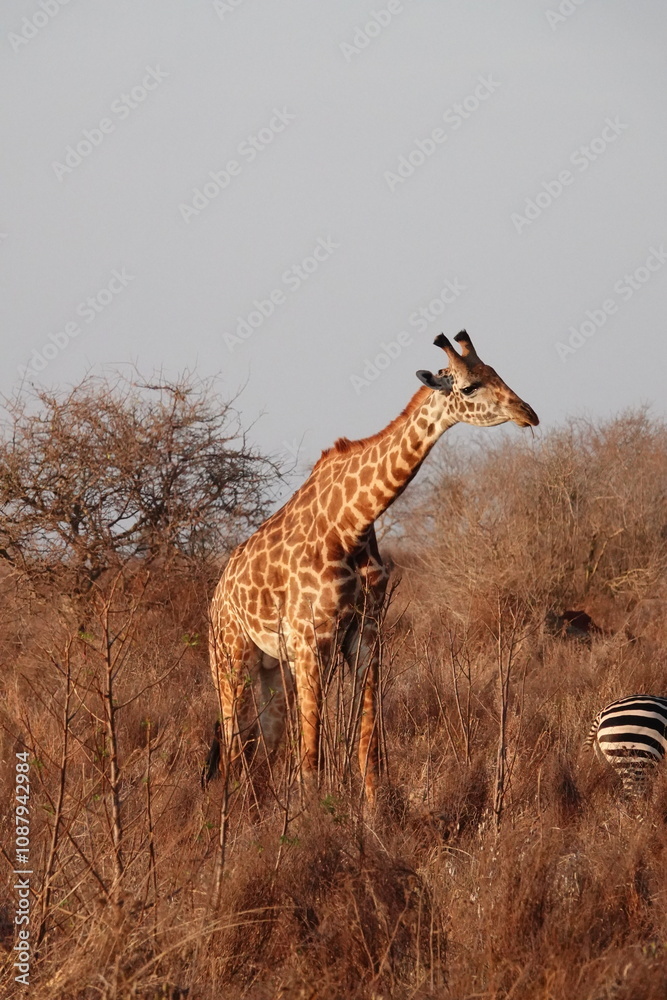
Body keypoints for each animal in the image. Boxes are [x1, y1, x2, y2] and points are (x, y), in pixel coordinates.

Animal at [205, 330, 539, 804]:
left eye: (497, 373)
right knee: (234, 749)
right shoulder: (310, 641)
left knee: (259, 748)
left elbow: (368, 748)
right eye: (470, 386)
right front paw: (312, 818)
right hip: (230, 658)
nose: (527, 413)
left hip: (271, 668)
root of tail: (217, 596)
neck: (353, 523)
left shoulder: (366, 634)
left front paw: (374, 814)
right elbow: (311, 754)